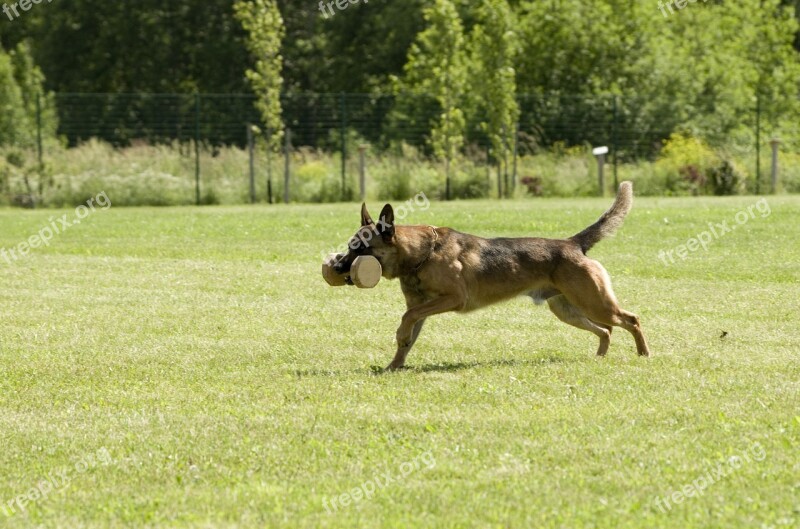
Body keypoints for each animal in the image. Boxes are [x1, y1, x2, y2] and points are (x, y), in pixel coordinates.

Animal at [332, 179, 648, 370]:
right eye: (350, 246)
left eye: (361, 248)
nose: (335, 268)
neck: (422, 254)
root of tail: (572, 244)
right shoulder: (422, 307)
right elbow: (408, 335)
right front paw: (393, 366)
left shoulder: (453, 299)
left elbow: (406, 318)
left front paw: (398, 339)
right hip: (568, 310)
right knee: (606, 330)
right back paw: (600, 357)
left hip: (595, 304)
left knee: (631, 320)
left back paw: (644, 354)